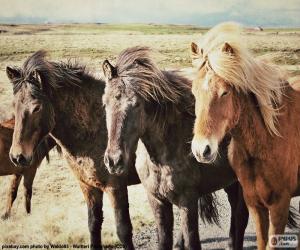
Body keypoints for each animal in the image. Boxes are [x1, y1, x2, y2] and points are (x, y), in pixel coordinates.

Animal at [6, 49, 141, 249]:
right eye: (13, 105)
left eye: (36, 108)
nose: (18, 157)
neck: (96, 127)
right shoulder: (88, 187)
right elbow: (93, 225)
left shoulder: (115, 187)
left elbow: (123, 231)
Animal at [102, 47, 248, 250]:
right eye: (105, 103)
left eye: (136, 104)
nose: (114, 161)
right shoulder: (157, 201)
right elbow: (164, 240)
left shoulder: (188, 202)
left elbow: (192, 241)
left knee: (242, 216)